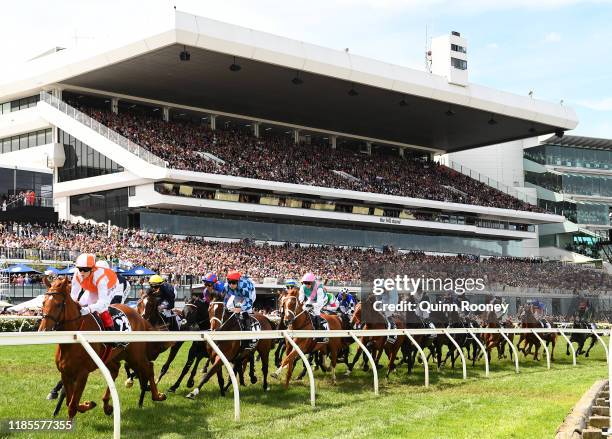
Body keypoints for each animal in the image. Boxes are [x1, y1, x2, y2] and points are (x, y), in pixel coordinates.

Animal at [39, 278, 166, 420]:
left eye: (58, 304)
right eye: (43, 302)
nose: (42, 330)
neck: (73, 340)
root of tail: (139, 317)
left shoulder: (83, 373)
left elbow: (72, 405)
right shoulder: (65, 372)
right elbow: (70, 401)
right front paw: (87, 404)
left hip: (135, 355)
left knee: (148, 367)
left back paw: (158, 396)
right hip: (113, 355)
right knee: (115, 370)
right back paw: (107, 406)